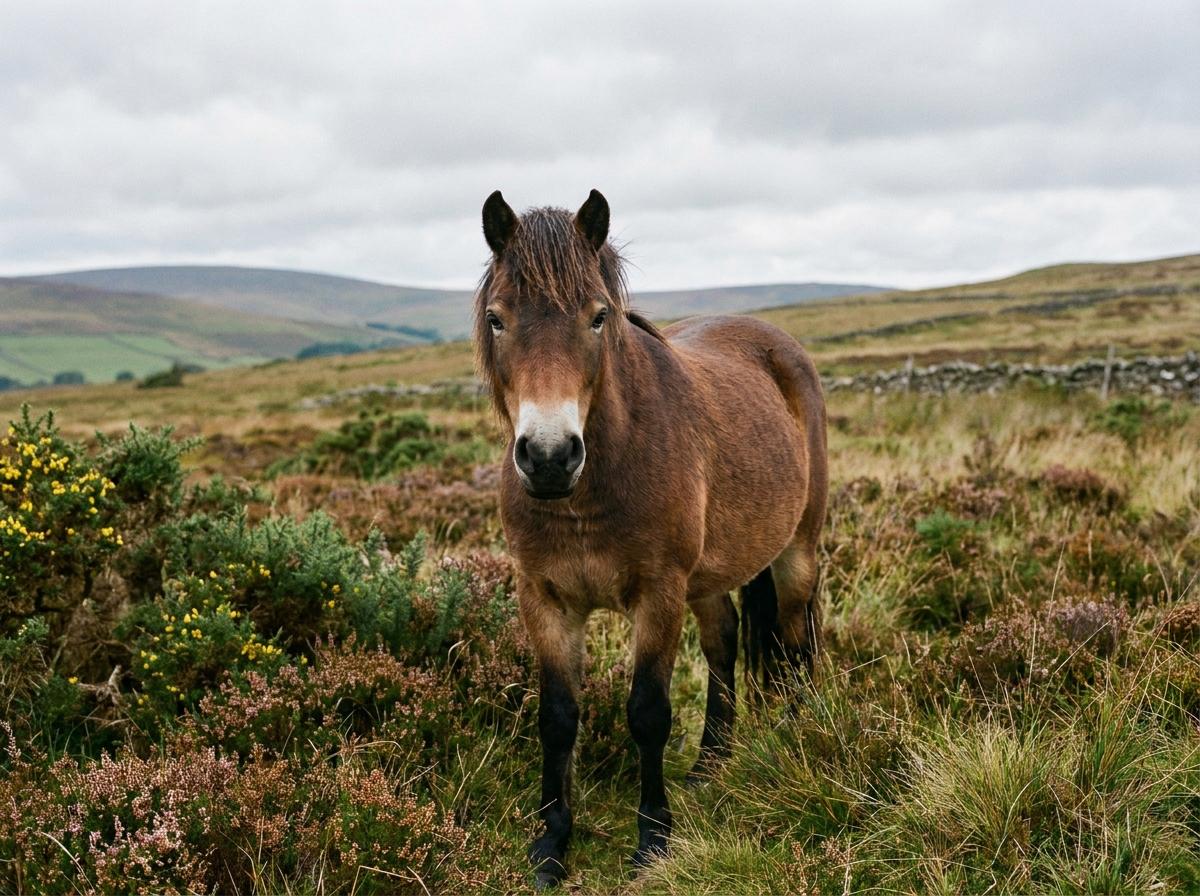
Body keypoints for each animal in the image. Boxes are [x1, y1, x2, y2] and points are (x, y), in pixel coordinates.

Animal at [474, 189, 828, 887]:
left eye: (598, 317)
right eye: (498, 319)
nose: (549, 458)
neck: (587, 495)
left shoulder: (658, 594)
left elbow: (647, 714)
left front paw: (653, 841)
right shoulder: (543, 598)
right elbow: (557, 717)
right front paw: (551, 845)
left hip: (795, 551)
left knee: (796, 639)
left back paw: (798, 736)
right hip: (709, 577)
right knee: (723, 644)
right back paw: (711, 763)